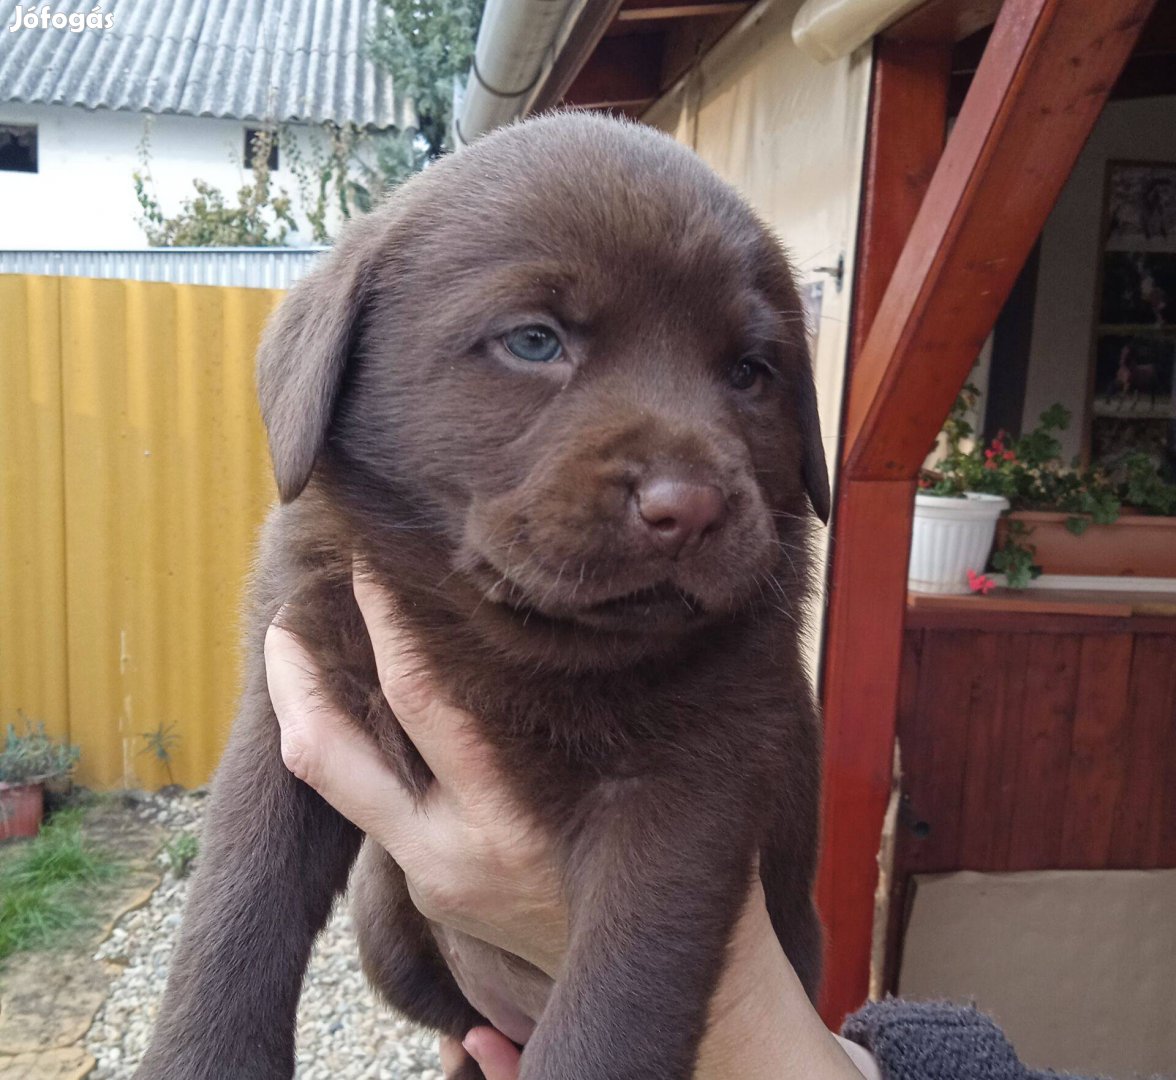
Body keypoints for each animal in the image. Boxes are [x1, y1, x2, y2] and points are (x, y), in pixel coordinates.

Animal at [133, 111, 832, 1080]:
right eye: (534, 341)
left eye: (750, 373)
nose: (687, 506)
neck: (502, 632)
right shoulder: (290, 695)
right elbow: (239, 901)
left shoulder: (696, 783)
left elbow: (619, 1002)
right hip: (387, 923)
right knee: (468, 1032)